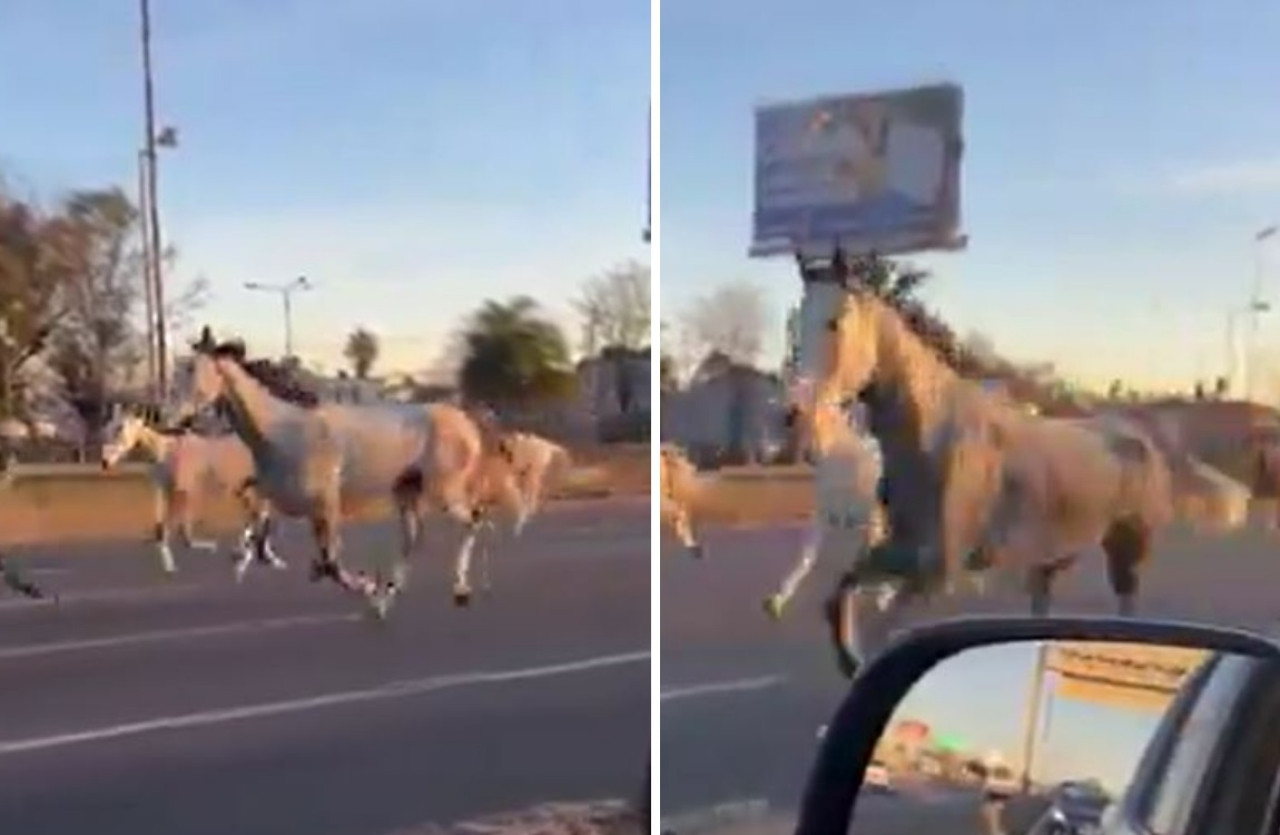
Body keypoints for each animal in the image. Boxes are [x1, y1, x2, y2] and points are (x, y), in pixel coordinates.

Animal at [99, 407, 285, 581]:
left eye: (121, 430)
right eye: (108, 428)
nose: (105, 463)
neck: (165, 452)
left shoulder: (181, 492)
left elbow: (175, 533)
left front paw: (172, 566)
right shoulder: (166, 490)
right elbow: (168, 531)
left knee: (261, 514)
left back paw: (266, 557)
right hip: (245, 489)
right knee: (255, 514)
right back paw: (248, 553)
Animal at [171, 330, 499, 617]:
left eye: (191, 369)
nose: (168, 419)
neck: (282, 431)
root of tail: (466, 423)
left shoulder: (326, 503)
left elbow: (331, 562)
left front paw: (366, 586)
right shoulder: (283, 497)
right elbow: (254, 509)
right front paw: (249, 555)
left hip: (445, 492)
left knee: (474, 520)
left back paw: (458, 590)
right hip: (407, 491)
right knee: (413, 538)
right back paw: (388, 596)